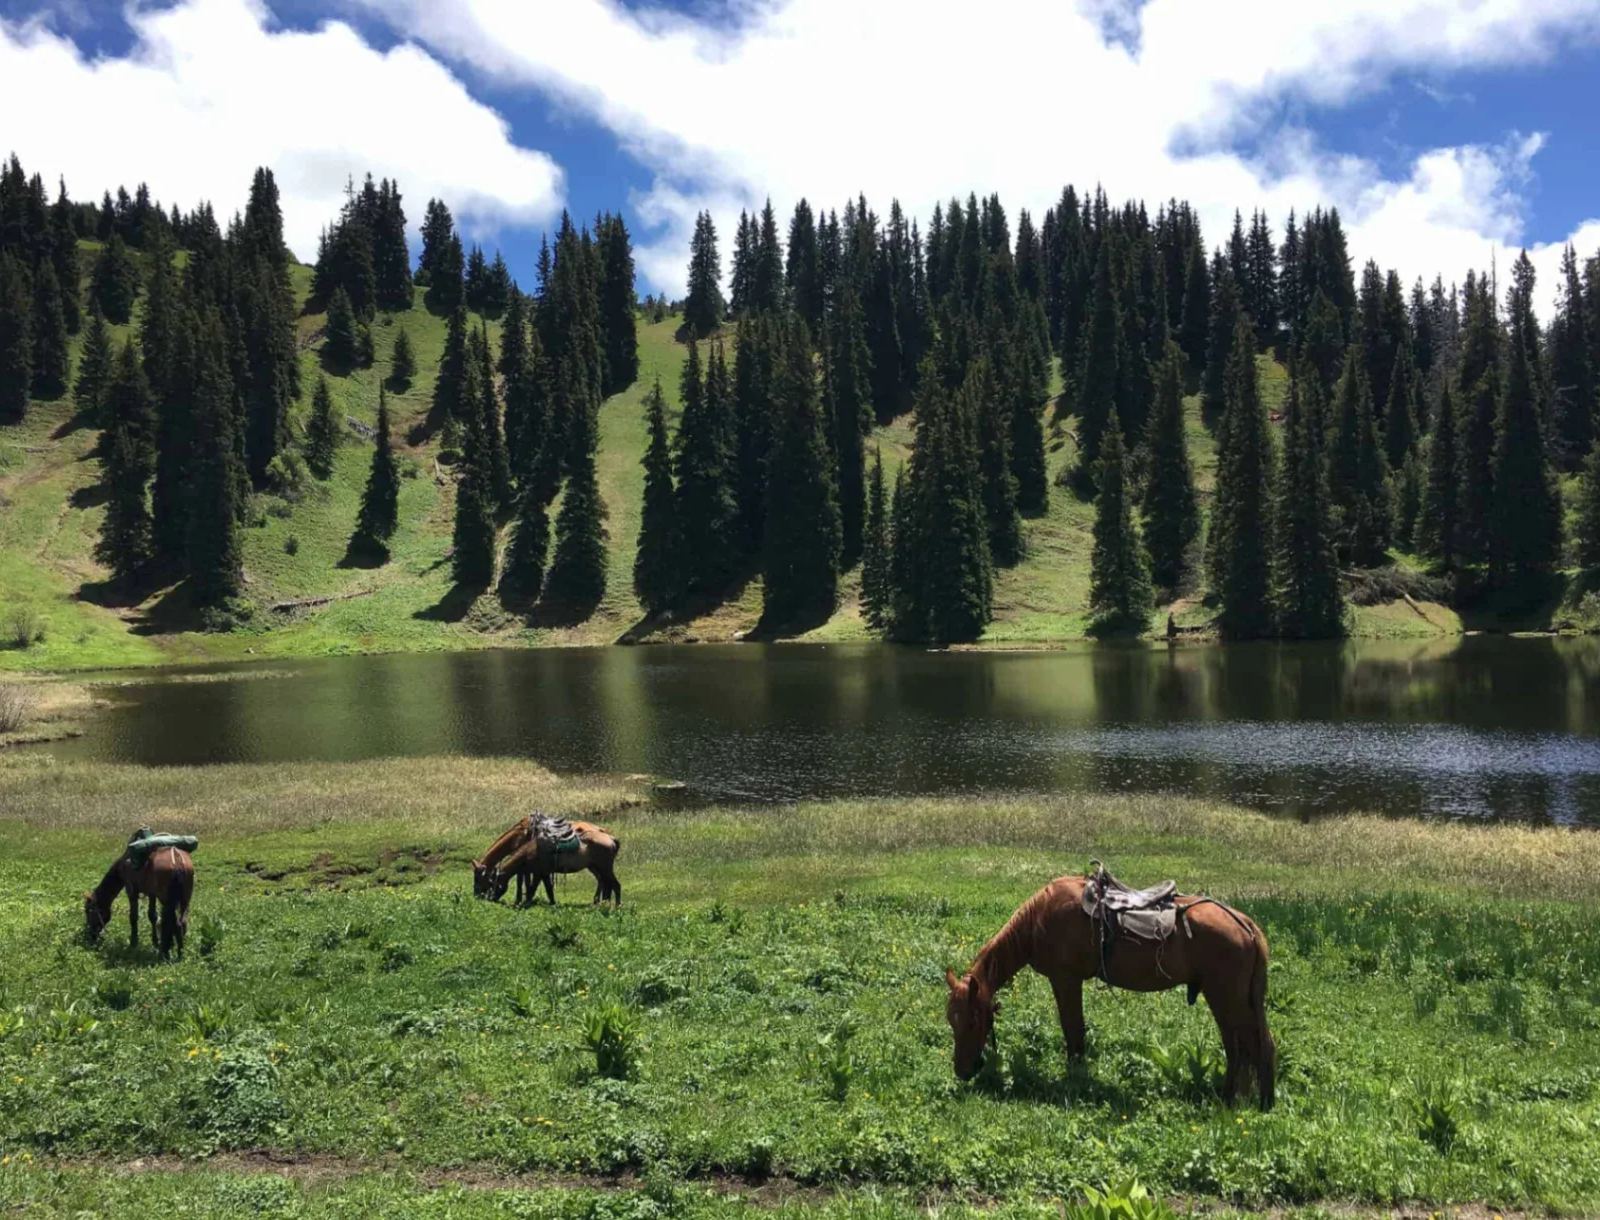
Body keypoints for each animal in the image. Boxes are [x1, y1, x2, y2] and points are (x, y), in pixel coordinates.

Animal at [489, 821, 622, 907]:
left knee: (615, 885)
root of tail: (610, 838)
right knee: (606, 884)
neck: (531, 850)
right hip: (597, 868)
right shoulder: (544, 873)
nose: (489, 898)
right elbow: (548, 889)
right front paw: (552, 903)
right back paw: (603, 903)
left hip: (605, 868)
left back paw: (617, 906)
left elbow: (532, 888)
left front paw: (525, 903)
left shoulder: (538, 873)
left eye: (493, 884)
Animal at [944, 873, 1274, 1109]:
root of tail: (1245, 924)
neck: (1039, 919)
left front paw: (1075, 1081)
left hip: (1227, 997)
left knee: (1251, 1045)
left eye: (973, 1021)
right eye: (952, 1021)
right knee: (1242, 1046)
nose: (962, 1070)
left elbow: (1073, 1031)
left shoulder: (1065, 979)